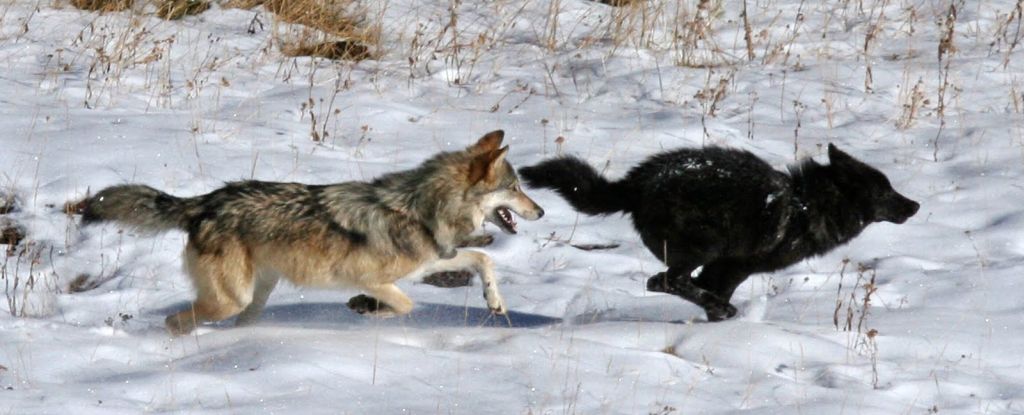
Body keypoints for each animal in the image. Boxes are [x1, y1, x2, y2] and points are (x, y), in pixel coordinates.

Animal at [79, 129, 544, 334]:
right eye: (515, 187)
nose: (540, 210)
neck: (422, 209)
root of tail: (206, 201)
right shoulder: (370, 276)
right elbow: (406, 305)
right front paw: (364, 308)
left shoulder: (431, 261)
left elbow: (483, 258)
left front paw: (495, 302)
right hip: (232, 299)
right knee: (175, 322)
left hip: (253, 299)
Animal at [520, 143, 921, 321]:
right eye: (885, 192)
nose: (915, 205)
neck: (808, 205)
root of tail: (636, 182)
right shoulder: (733, 267)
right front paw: (720, 316)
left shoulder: (720, 270)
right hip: (706, 247)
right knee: (663, 281)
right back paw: (721, 307)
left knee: (666, 281)